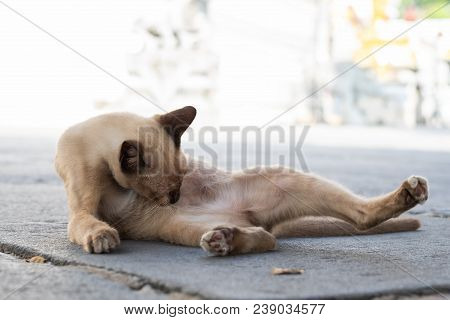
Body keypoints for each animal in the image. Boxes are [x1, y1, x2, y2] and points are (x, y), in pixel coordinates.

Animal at [54, 106, 428, 256]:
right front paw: (104, 237)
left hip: (285, 178)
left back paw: (412, 192)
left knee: (359, 217)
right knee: (266, 238)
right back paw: (226, 240)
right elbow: (89, 222)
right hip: (182, 230)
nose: (174, 201)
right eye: (171, 191)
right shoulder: (82, 209)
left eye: (180, 184)